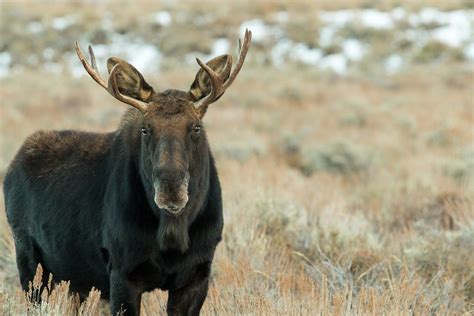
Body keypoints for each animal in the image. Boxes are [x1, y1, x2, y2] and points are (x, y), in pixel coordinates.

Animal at [2, 29, 252, 314]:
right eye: (146, 128)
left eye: (196, 126)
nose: (171, 190)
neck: (172, 236)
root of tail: (11, 168)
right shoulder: (122, 272)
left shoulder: (197, 274)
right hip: (30, 260)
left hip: (76, 279)